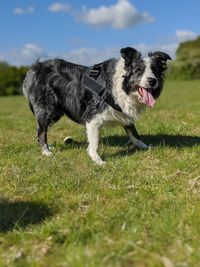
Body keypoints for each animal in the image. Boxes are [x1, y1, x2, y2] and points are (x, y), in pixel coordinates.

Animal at [23, 48, 170, 165]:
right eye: (139, 71)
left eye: (155, 71)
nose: (152, 81)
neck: (119, 86)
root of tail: (36, 68)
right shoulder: (92, 117)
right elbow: (95, 142)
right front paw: (97, 160)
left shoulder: (123, 113)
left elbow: (134, 133)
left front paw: (146, 147)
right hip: (47, 110)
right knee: (41, 131)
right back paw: (46, 151)